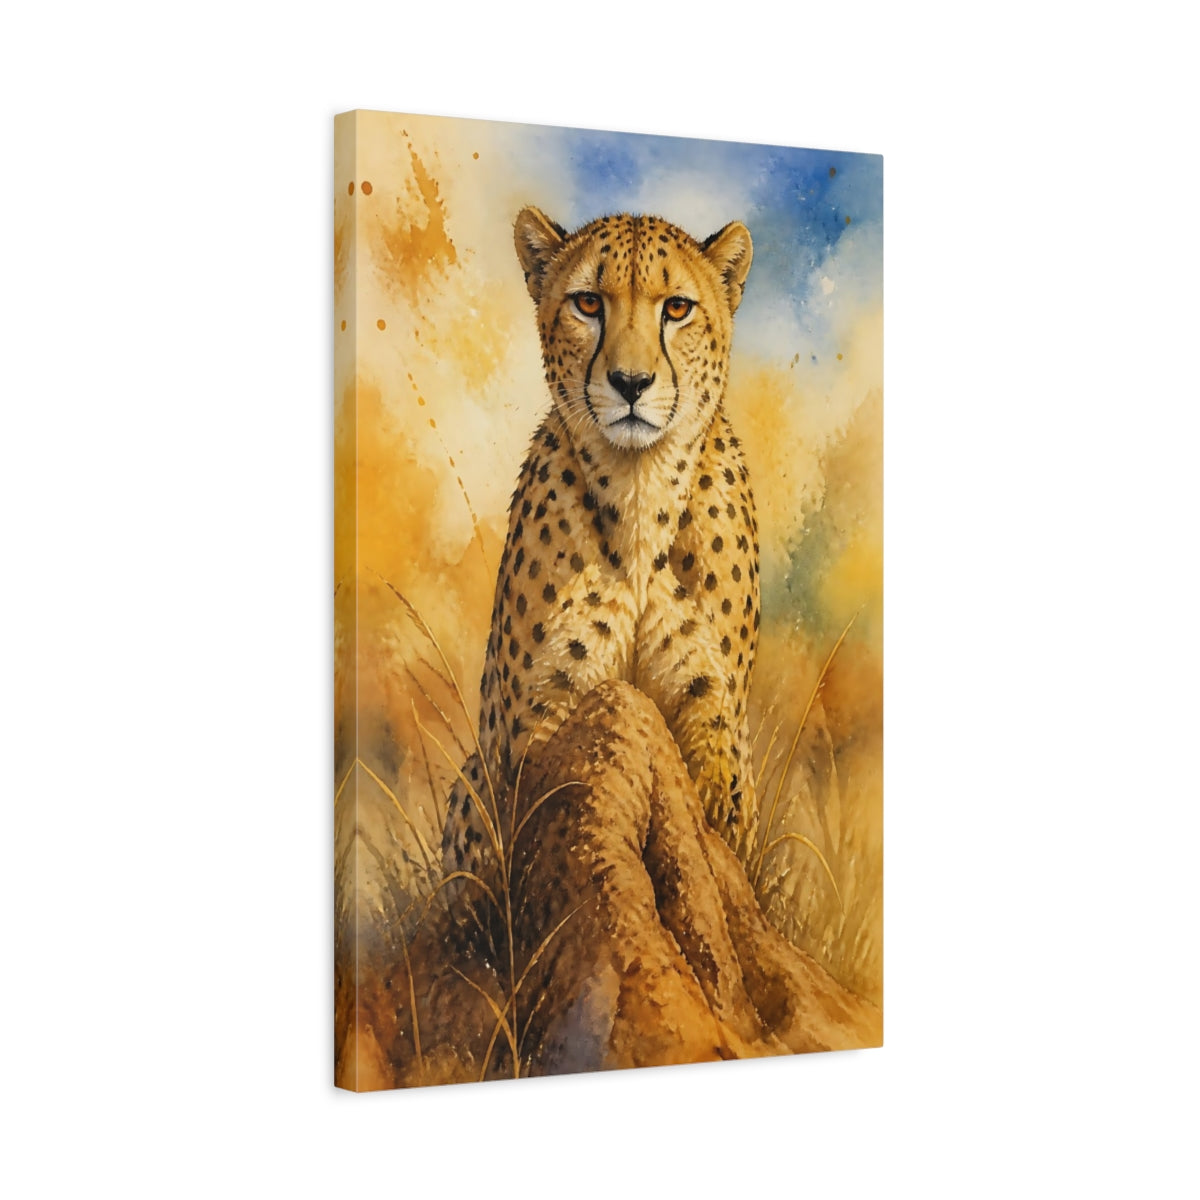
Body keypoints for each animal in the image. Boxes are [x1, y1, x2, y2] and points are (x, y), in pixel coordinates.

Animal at [442, 206, 762, 883]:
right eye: (588, 303)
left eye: (677, 308)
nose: (631, 382)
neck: (639, 488)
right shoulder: (548, 712)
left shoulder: (713, 719)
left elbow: (713, 835)